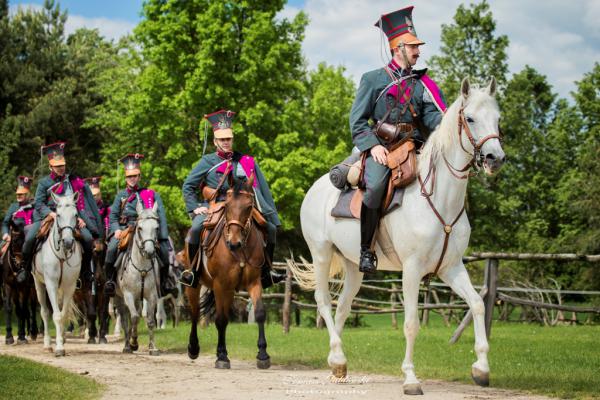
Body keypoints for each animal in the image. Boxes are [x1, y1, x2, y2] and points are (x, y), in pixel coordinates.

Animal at [32, 191, 83, 356]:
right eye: (58, 215)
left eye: (75, 214)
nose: (68, 242)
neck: (62, 254)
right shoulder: (51, 285)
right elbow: (56, 315)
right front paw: (59, 347)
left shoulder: (69, 286)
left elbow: (64, 314)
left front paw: (62, 342)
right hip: (38, 284)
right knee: (44, 312)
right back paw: (47, 344)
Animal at [113, 202, 161, 354]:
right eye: (140, 228)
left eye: (156, 228)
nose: (149, 252)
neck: (142, 268)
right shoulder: (128, 294)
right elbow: (133, 318)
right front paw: (133, 343)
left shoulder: (151, 295)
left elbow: (150, 320)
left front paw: (153, 347)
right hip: (119, 297)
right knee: (125, 318)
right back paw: (127, 345)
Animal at [186, 178, 270, 368]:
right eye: (227, 206)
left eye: (249, 206)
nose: (234, 243)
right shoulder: (220, 285)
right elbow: (221, 320)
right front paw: (222, 356)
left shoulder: (254, 282)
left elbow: (260, 313)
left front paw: (263, 354)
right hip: (194, 286)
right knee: (195, 313)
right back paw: (193, 348)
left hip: (230, 291)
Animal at [290, 78, 502, 394]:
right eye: (471, 118)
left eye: (498, 119)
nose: (495, 158)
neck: (439, 197)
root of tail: (315, 189)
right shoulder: (412, 269)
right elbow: (411, 322)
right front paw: (411, 378)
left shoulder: (451, 267)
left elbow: (476, 303)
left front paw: (481, 368)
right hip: (321, 254)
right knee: (324, 301)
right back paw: (337, 356)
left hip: (354, 267)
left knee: (343, 307)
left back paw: (337, 362)